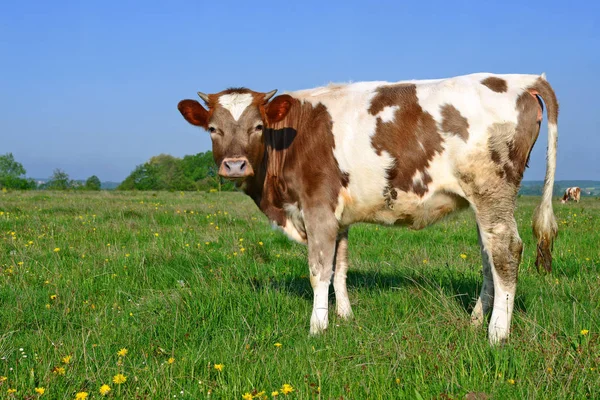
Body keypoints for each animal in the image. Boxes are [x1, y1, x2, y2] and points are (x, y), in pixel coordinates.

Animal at [177, 72, 556, 344]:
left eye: (258, 126)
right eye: (213, 128)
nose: (234, 165)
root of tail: (522, 78)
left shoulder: (317, 207)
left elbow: (319, 269)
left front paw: (317, 327)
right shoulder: (339, 216)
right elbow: (340, 266)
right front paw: (344, 317)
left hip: (491, 189)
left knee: (506, 252)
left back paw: (497, 334)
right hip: (484, 201)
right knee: (488, 256)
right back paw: (477, 319)